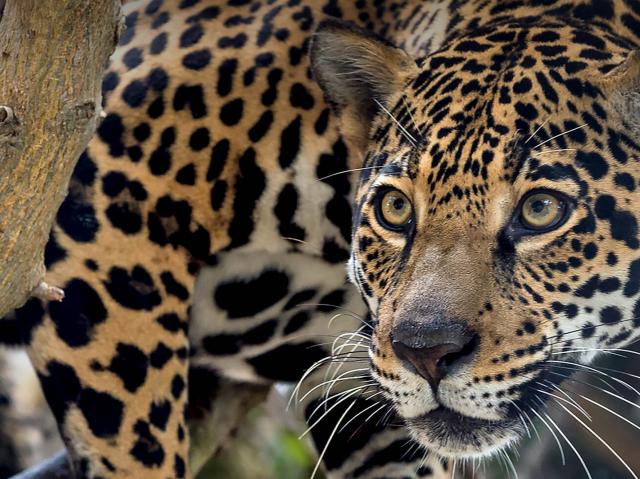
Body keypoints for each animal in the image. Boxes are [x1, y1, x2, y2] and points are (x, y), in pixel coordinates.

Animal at [1, 0, 640, 478]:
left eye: (540, 210)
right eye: (395, 208)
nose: (425, 353)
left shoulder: (357, 380)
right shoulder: (98, 198)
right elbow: (139, 439)